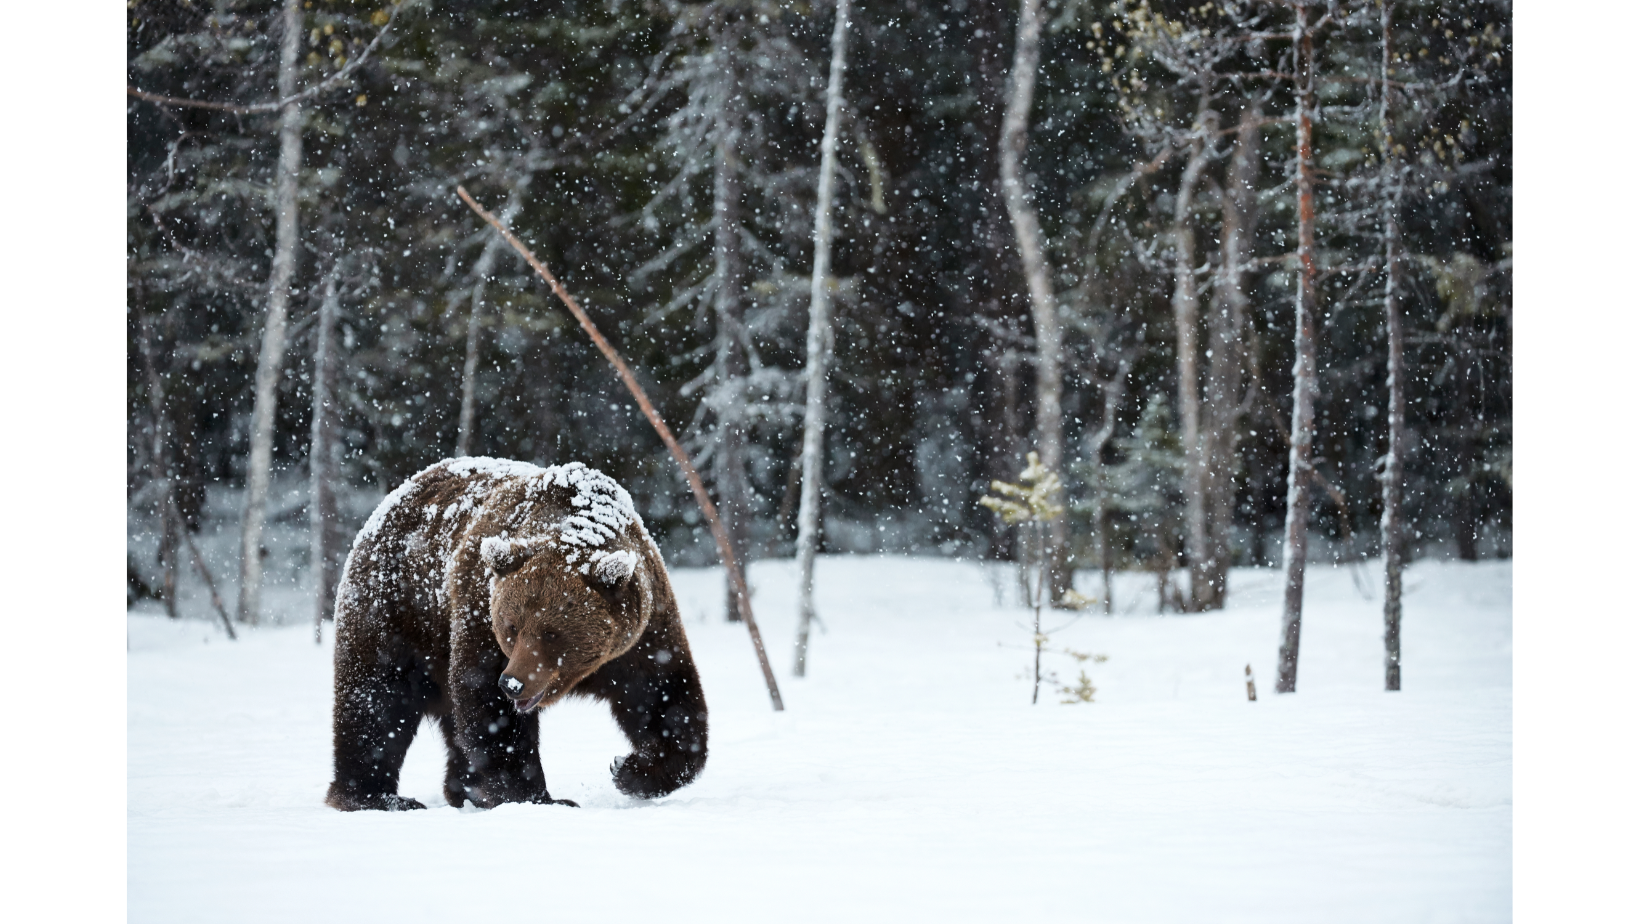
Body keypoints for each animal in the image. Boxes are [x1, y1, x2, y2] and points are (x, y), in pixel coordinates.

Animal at [324, 459, 705, 814]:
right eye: (511, 627)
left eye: (551, 633)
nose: (512, 683)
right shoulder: (479, 612)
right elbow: (490, 711)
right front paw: (538, 797)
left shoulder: (640, 634)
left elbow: (663, 698)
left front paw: (630, 769)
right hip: (397, 609)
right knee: (378, 700)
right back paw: (377, 796)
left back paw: (465, 790)